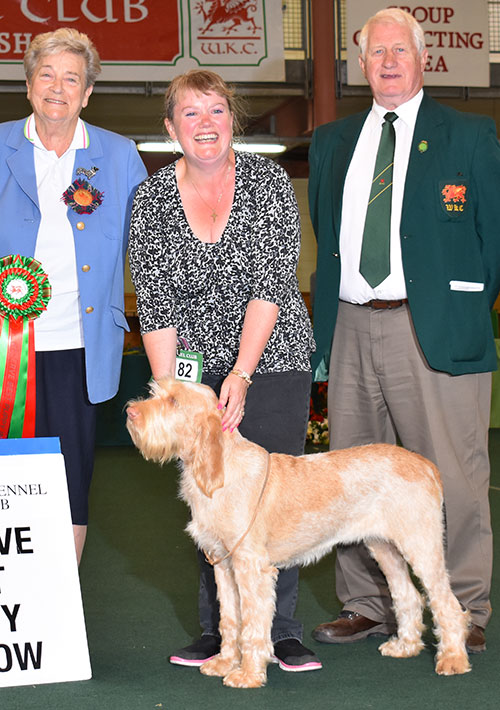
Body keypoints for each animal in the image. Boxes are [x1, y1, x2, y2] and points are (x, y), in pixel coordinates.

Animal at [127, 378, 470, 688]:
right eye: (156, 392)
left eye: (174, 401)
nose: (130, 412)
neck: (220, 468)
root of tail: (426, 465)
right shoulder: (223, 565)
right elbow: (230, 620)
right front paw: (224, 662)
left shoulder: (252, 568)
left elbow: (252, 624)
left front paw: (248, 674)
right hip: (384, 548)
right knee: (408, 596)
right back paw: (405, 647)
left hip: (421, 546)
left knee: (447, 603)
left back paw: (453, 659)